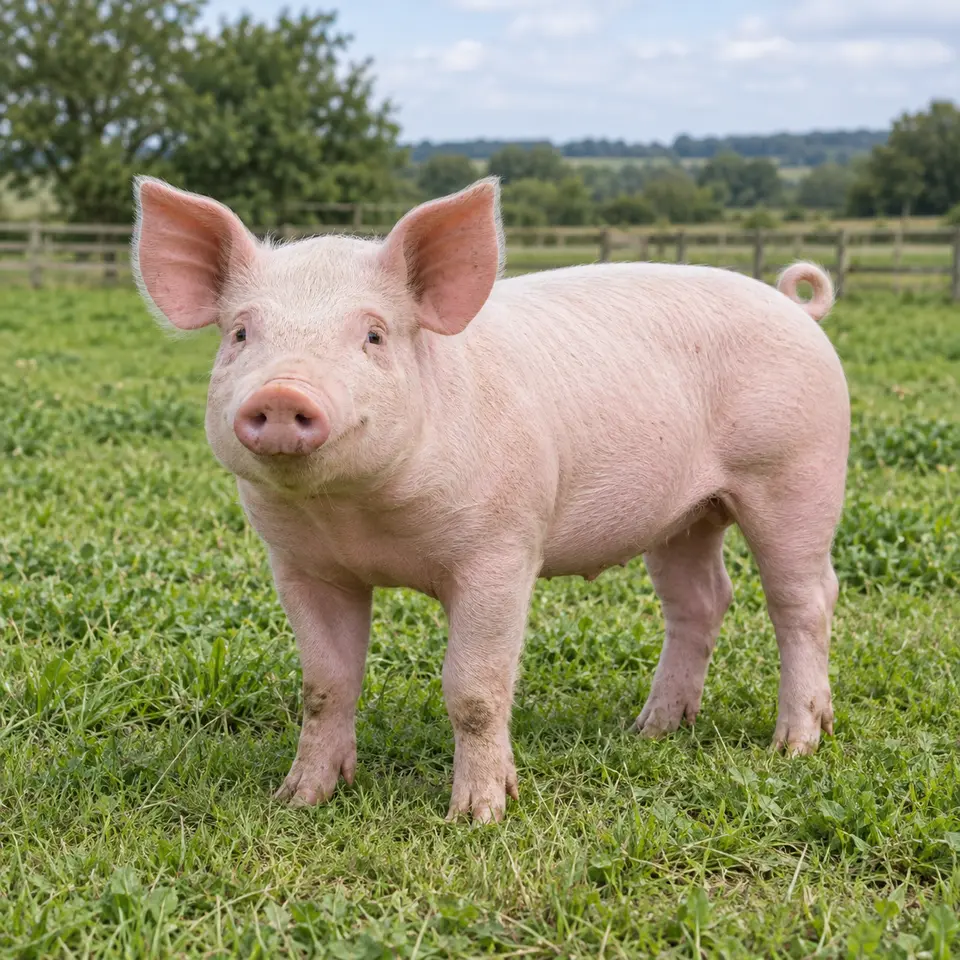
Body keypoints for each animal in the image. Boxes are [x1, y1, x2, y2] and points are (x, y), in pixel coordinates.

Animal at [132, 176, 850, 823]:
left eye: (374, 335)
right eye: (240, 334)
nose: (283, 393)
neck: (358, 515)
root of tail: (795, 307)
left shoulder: (501, 551)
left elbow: (474, 690)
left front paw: (478, 815)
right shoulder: (301, 566)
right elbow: (324, 685)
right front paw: (298, 800)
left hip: (799, 471)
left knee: (804, 599)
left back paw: (794, 745)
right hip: (685, 515)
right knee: (702, 600)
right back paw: (650, 729)